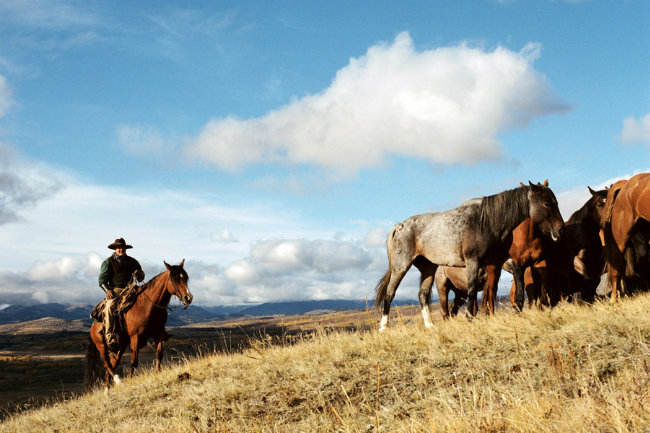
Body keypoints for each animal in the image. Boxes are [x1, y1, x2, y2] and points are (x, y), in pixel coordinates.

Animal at [86, 258, 192, 390]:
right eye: (175, 279)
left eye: (186, 277)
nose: (188, 298)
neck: (149, 305)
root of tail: (93, 325)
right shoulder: (135, 337)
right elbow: (134, 361)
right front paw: (130, 380)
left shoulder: (158, 335)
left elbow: (159, 355)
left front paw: (157, 374)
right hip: (101, 345)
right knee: (107, 363)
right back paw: (117, 380)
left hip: (119, 347)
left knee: (111, 364)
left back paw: (108, 389)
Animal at [374, 181, 560, 330]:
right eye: (546, 203)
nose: (559, 230)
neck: (487, 221)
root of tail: (400, 226)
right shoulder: (473, 262)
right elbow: (472, 290)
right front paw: (470, 317)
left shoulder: (498, 260)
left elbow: (517, 271)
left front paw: (520, 303)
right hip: (401, 266)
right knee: (390, 293)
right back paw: (383, 328)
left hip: (428, 268)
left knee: (422, 294)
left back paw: (430, 326)